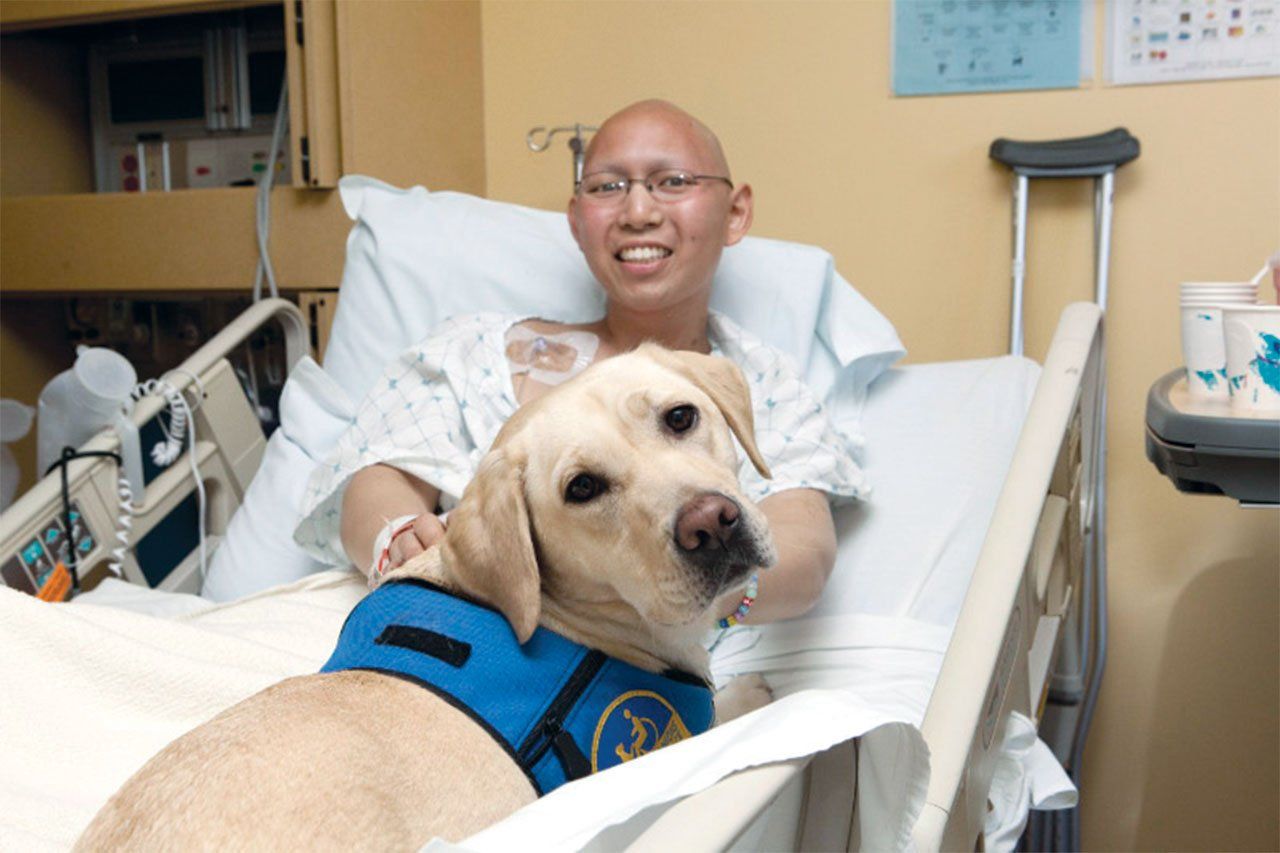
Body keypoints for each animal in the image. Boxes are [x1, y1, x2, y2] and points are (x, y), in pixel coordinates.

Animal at [82, 343, 778, 845]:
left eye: (681, 417)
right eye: (582, 488)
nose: (711, 523)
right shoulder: (660, 743)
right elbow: (730, 715)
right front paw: (754, 691)